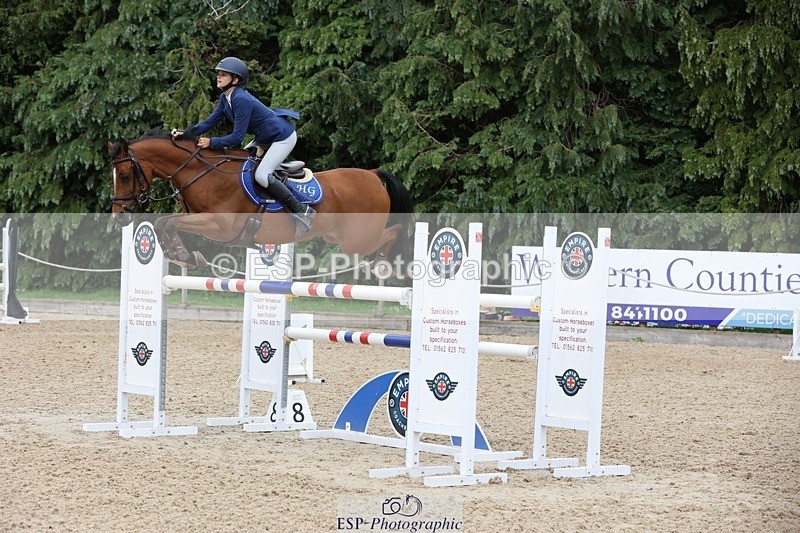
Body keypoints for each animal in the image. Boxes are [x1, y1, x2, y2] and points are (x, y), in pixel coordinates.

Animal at [108, 132, 414, 271]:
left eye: (124, 175)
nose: (119, 215)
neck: (203, 173)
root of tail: (372, 175)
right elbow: (164, 223)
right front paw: (183, 256)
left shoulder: (220, 226)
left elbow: (168, 222)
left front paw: (183, 255)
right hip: (336, 237)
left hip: (357, 239)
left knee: (393, 232)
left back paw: (383, 263)